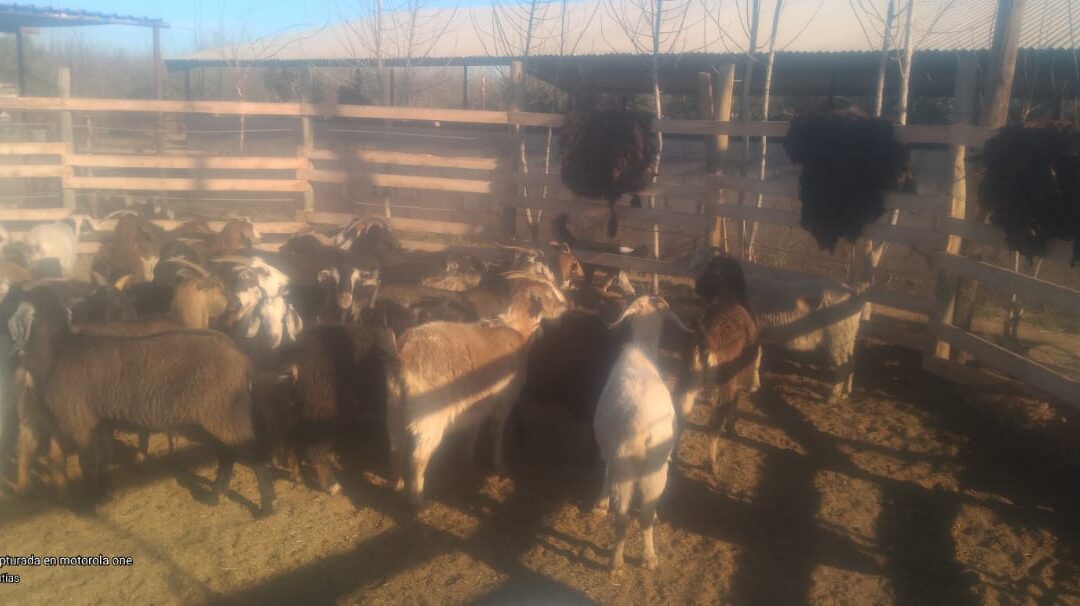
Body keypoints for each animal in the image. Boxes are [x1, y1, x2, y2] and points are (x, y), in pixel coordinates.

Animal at [10, 287, 274, 515]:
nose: (19, 350)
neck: (59, 350)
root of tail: (242, 358)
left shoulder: (80, 422)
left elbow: (88, 463)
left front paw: (91, 505)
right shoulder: (90, 422)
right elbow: (92, 459)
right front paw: (101, 494)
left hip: (224, 413)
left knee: (249, 453)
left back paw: (266, 508)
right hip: (215, 415)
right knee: (227, 455)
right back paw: (214, 497)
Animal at [386, 276, 569, 506]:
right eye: (549, 293)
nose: (568, 305)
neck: (518, 332)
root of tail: (402, 355)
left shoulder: (478, 403)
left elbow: (472, 431)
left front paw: (467, 460)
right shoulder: (503, 400)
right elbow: (497, 432)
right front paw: (499, 465)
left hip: (394, 408)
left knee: (396, 448)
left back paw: (397, 486)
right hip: (429, 415)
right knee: (417, 458)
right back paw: (417, 500)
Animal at [592, 295, 690, 571]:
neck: (641, 350)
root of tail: (642, 432)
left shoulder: (608, 451)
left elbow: (604, 470)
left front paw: (600, 504)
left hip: (626, 465)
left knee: (623, 516)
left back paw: (617, 562)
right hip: (656, 468)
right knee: (644, 515)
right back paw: (649, 558)